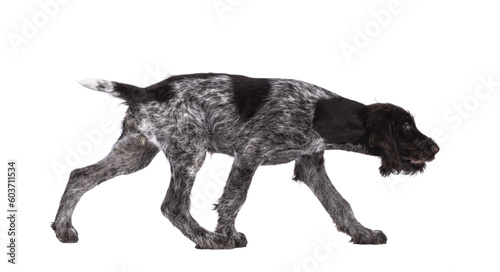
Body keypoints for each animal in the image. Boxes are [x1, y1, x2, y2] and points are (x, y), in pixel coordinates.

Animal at [52, 73, 440, 249]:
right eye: (407, 127)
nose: (435, 148)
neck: (319, 114)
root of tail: (147, 90)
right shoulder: (250, 154)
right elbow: (234, 199)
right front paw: (227, 234)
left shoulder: (310, 163)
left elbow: (339, 204)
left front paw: (362, 232)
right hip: (190, 152)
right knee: (172, 205)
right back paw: (207, 239)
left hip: (134, 152)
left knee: (79, 176)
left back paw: (63, 228)